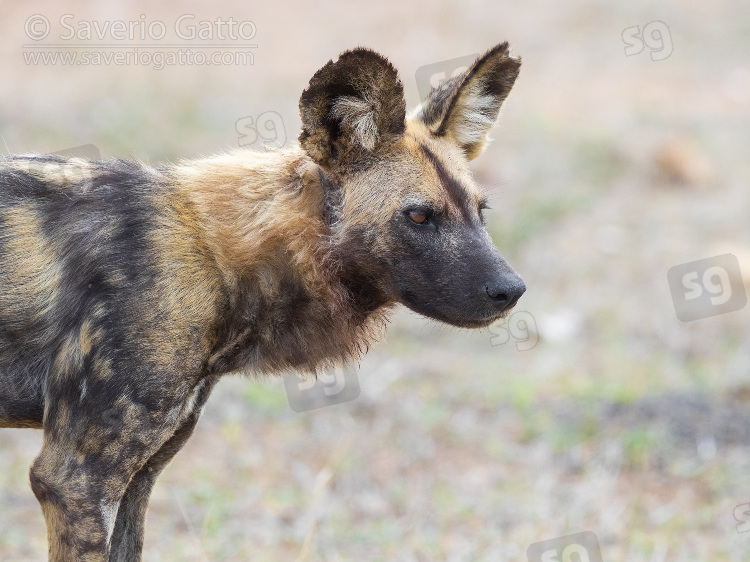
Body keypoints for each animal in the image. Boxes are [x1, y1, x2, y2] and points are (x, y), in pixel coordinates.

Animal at [0, 41, 524, 556]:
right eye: (418, 216)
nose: (512, 290)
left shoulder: (136, 480)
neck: (218, 259)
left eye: (480, 212)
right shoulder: (75, 481)